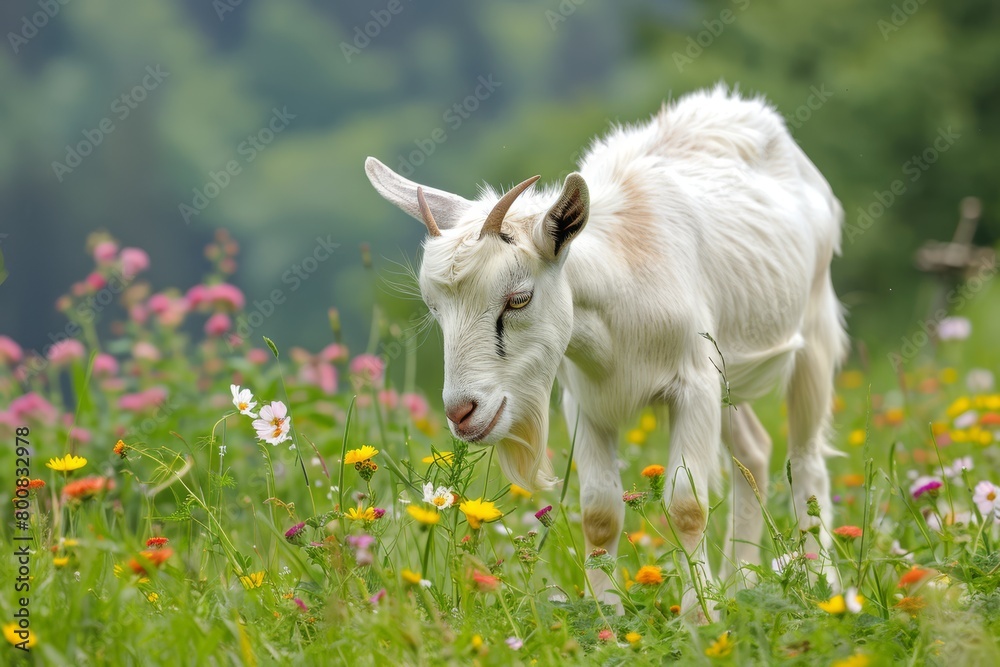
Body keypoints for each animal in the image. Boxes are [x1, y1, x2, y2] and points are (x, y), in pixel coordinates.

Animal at [365, 84, 848, 615]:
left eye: (519, 298)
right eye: (435, 308)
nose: (461, 412)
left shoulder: (693, 386)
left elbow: (687, 504)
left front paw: (698, 617)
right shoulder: (587, 402)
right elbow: (599, 512)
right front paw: (605, 616)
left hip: (813, 327)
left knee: (806, 461)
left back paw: (827, 588)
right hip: (728, 373)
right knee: (756, 453)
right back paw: (740, 583)